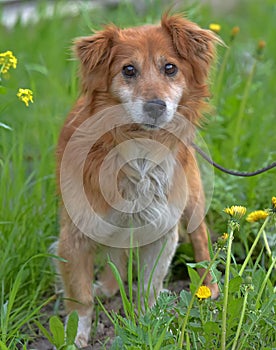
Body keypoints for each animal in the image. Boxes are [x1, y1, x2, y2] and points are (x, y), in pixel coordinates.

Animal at [56, 14, 220, 348]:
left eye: (170, 68)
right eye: (128, 70)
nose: (156, 106)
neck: (140, 146)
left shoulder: (162, 229)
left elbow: (148, 287)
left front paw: (148, 326)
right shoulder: (74, 236)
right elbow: (80, 297)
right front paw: (76, 335)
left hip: (192, 200)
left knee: (200, 239)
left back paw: (209, 288)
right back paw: (107, 287)